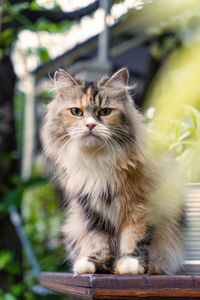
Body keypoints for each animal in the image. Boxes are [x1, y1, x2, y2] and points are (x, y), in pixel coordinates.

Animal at [41, 67, 185, 274]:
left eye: (105, 111)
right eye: (76, 112)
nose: (90, 125)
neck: (97, 162)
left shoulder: (142, 206)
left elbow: (134, 237)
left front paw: (130, 264)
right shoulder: (91, 211)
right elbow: (99, 242)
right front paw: (93, 263)